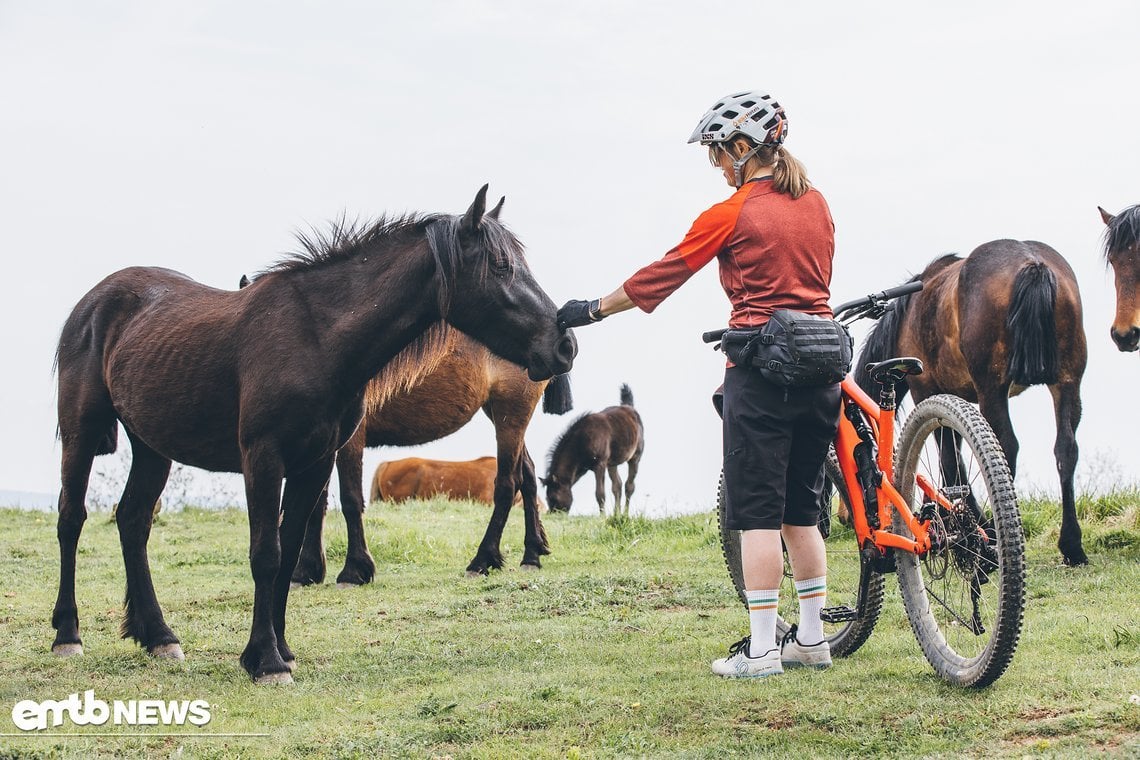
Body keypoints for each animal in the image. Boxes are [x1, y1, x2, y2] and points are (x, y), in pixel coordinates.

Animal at [289, 330, 574, 587]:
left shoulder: (352, 436)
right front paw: (306, 571)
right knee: (527, 476)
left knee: (507, 484)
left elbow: (349, 499)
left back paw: (482, 561)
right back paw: (532, 554)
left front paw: (354, 571)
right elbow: (315, 504)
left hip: (511, 412)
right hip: (498, 412)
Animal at [540, 387, 642, 517]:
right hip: (612, 463)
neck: (581, 440)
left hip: (635, 457)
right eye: (547, 498)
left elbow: (600, 494)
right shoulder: (583, 468)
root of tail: (629, 408)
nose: (554, 515)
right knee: (617, 486)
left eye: (553, 498)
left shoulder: (599, 465)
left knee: (629, 486)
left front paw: (602, 517)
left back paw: (624, 514)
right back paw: (616, 514)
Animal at [857, 242, 1085, 565]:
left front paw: (967, 521)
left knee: (1006, 446)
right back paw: (1072, 545)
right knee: (1066, 449)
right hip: (1067, 382)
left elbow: (950, 459)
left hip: (993, 389)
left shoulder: (925, 389)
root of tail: (1033, 265)